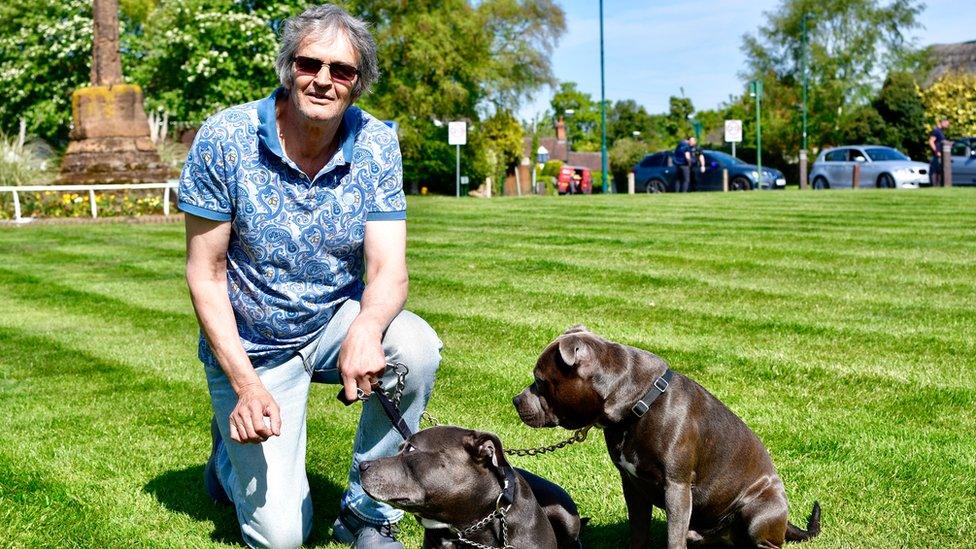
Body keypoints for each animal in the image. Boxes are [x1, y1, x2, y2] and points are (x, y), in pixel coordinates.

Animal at [516, 326, 820, 548]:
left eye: (540, 380)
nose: (515, 400)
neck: (638, 404)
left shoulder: (676, 487)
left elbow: (673, 538)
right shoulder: (632, 485)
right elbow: (639, 530)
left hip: (760, 511)